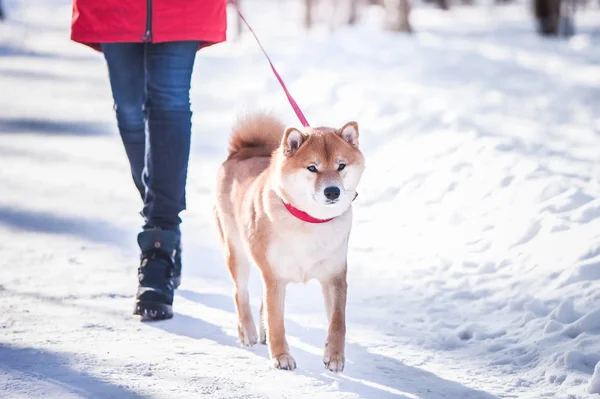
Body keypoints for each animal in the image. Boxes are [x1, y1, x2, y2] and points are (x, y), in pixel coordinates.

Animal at [216, 112, 366, 372]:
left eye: (341, 165)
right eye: (312, 167)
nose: (332, 191)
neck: (310, 221)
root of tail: (242, 152)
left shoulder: (335, 276)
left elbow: (338, 322)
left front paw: (335, 356)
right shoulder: (274, 277)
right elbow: (277, 321)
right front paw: (281, 356)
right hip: (237, 252)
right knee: (240, 293)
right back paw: (248, 332)